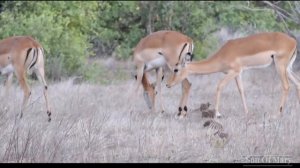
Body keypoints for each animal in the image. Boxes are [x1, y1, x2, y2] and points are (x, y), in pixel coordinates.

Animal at [166, 31, 300, 118]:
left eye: (176, 69)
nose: (167, 84)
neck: (222, 54)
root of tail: (293, 41)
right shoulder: (238, 73)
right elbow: (241, 90)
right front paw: (247, 113)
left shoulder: (233, 72)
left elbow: (219, 86)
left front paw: (217, 114)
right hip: (287, 68)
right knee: (297, 83)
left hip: (280, 66)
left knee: (286, 86)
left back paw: (277, 114)